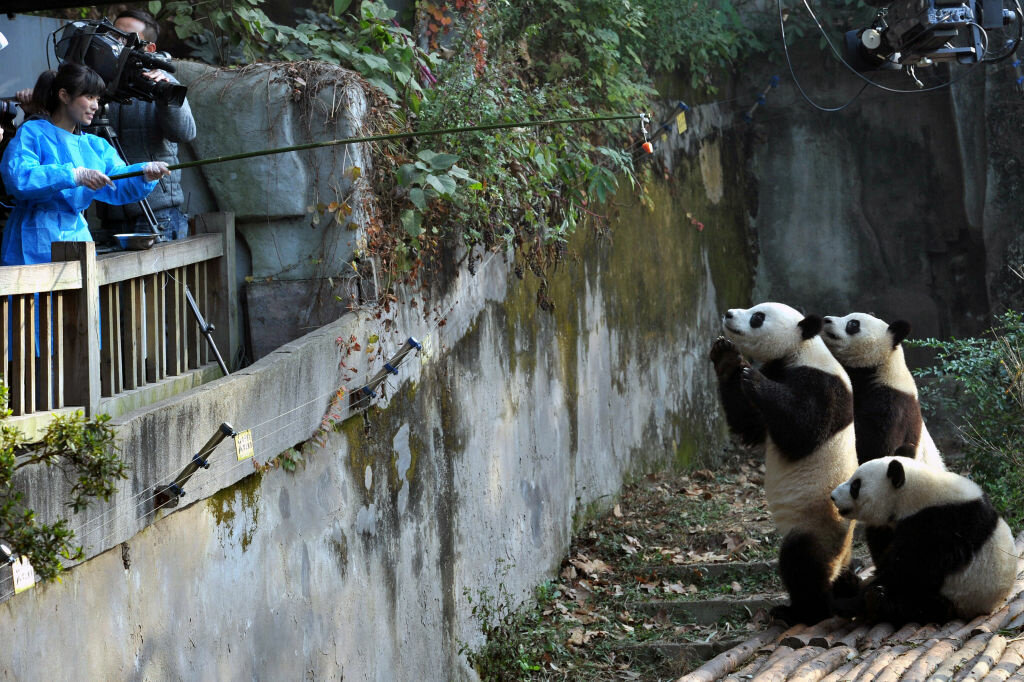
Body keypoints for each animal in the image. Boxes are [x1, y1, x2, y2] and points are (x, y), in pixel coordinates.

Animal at [708, 301, 860, 622]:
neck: (799, 350)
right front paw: (727, 359)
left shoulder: (823, 386)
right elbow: (749, 423)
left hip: (816, 525)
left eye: (757, 317)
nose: (729, 313)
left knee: (800, 561)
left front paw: (753, 378)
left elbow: (802, 430)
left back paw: (801, 611)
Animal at [827, 454, 1019, 622]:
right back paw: (847, 582)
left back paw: (874, 602)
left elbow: (909, 570)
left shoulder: (939, 527)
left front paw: (847, 603)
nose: (833, 496)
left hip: (960, 596)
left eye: (855, 486)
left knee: (920, 605)